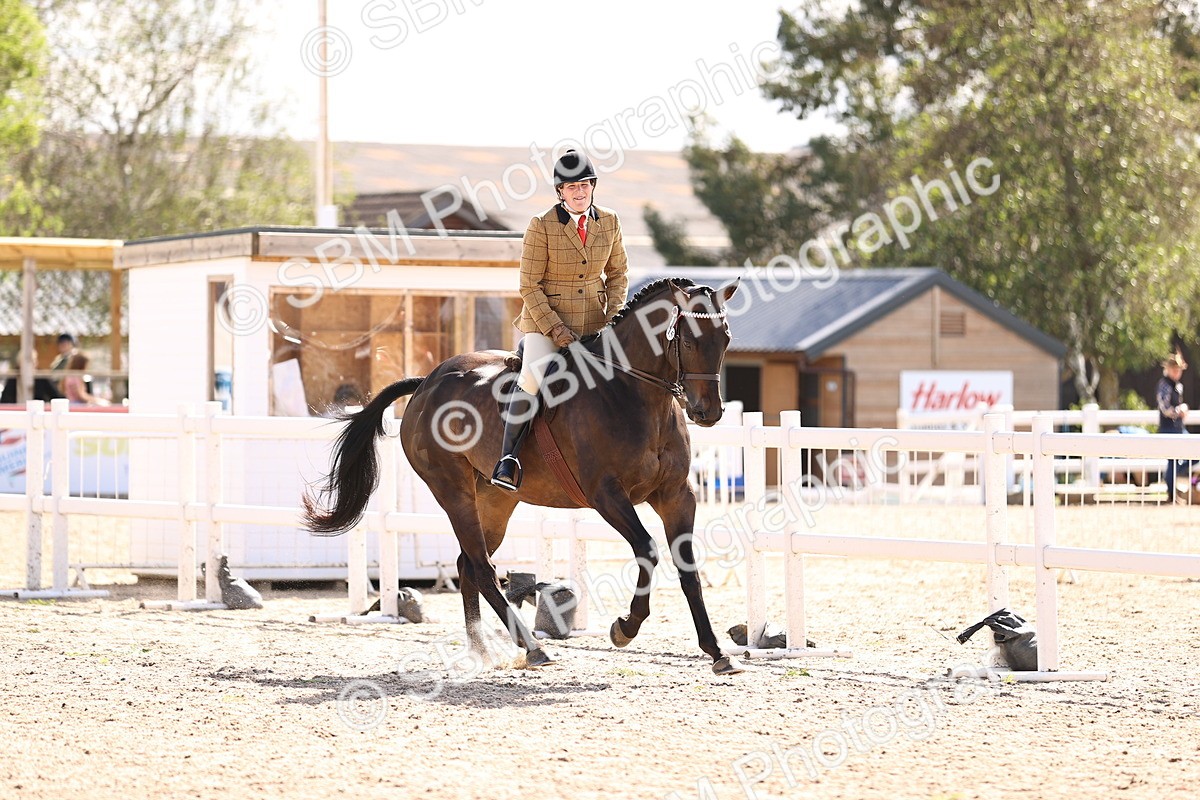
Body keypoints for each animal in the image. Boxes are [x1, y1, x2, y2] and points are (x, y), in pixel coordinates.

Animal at [303, 277, 744, 675]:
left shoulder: (677, 495)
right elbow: (648, 550)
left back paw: (481, 650)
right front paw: (624, 628)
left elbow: (687, 566)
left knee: (468, 564)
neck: (633, 394)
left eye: (724, 339)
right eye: (690, 341)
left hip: (496, 500)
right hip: (453, 491)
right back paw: (533, 648)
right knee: (482, 568)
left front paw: (716, 651)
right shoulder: (606, 494)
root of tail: (428, 382)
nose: (708, 413)